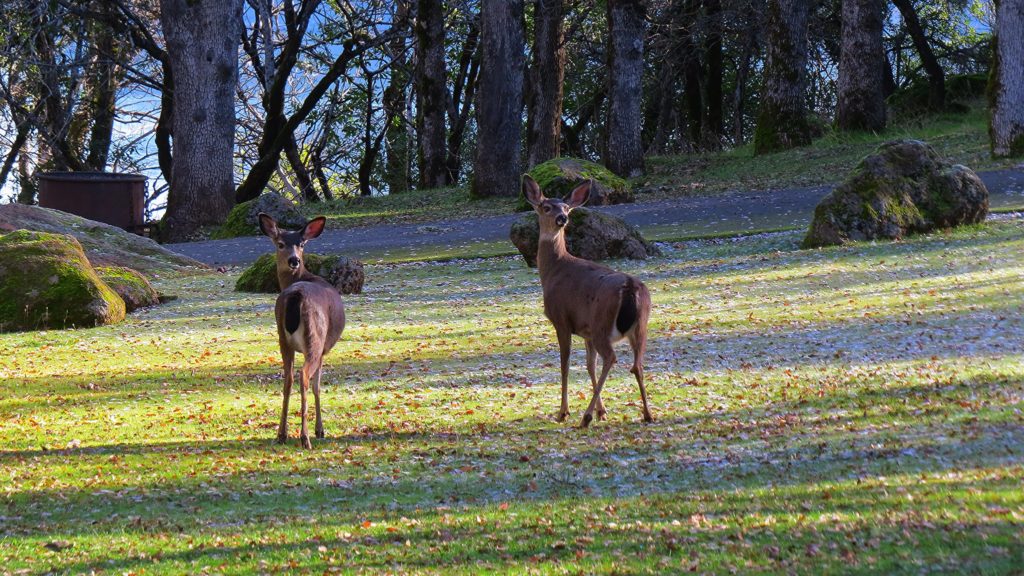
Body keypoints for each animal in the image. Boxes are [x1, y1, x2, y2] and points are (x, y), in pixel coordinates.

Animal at [258, 212, 346, 448]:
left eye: (301, 244)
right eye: (280, 244)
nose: (294, 260)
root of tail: (295, 294)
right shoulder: (324, 349)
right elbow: (317, 385)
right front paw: (320, 430)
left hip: (282, 338)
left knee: (287, 378)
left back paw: (281, 434)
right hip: (314, 338)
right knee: (304, 376)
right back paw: (305, 437)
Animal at [520, 175, 655, 426]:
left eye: (566, 208)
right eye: (547, 207)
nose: (562, 218)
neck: (553, 270)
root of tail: (630, 287)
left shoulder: (561, 320)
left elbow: (565, 365)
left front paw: (563, 412)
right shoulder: (586, 331)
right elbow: (590, 365)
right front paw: (603, 411)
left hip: (602, 322)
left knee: (611, 357)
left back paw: (586, 417)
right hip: (640, 325)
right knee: (637, 365)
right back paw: (648, 414)